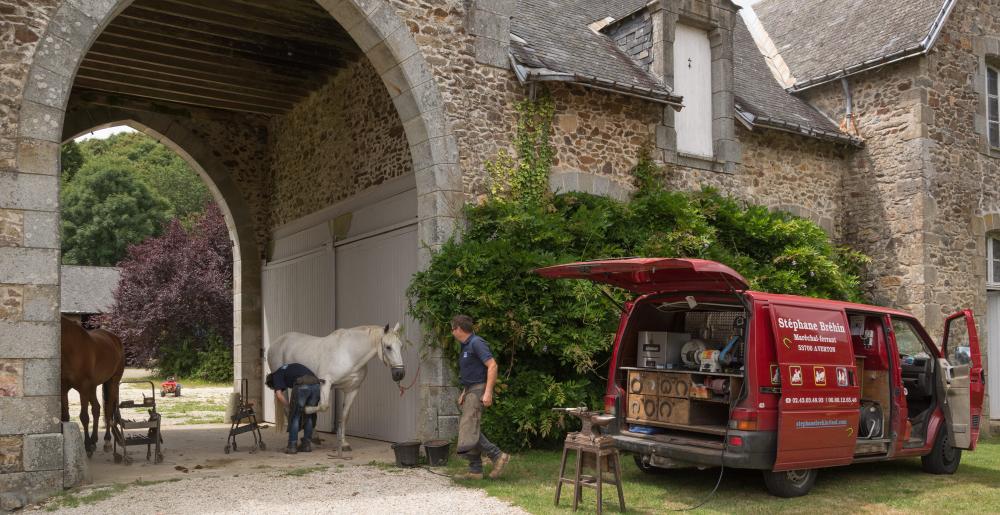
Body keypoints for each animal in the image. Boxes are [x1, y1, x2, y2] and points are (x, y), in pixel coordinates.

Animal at [61, 316, 124, 458]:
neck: (71, 348)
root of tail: (115, 338)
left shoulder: (83, 388)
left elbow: (84, 417)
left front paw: (87, 446)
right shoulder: (63, 389)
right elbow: (65, 417)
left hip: (112, 382)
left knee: (108, 409)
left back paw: (107, 441)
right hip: (93, 387)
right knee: (97, 408)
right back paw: (94, 440)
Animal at [270, 324, 406, 454]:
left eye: (401, 346)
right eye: (388, 347)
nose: (400, 374)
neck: (349, 354)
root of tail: (276, 342)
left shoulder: (352, 389)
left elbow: (344, 416)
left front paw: (344, 444)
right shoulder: (326, 384)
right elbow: (323, 406)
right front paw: (306, 409)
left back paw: (313, 437)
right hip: (284, 386)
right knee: (288, 409)